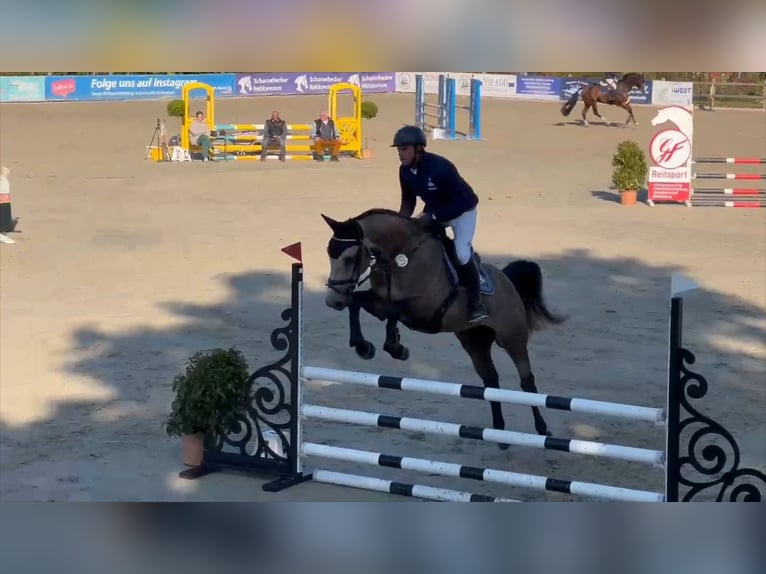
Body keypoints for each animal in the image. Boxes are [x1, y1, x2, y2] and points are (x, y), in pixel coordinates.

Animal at [320, 209, 567, 446]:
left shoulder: (422, 309)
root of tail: (508, 281)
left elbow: (391, 311)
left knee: (527, 381)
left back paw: (541, 429)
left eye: (350, 258)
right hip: (474, 341)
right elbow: (357, 303)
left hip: (512, 338)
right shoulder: (381, 302)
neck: (400, 257)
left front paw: (393, 347)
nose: (333, 302)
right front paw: (366, 347)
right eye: (329, 254)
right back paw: (499, 433)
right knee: (490, 380)